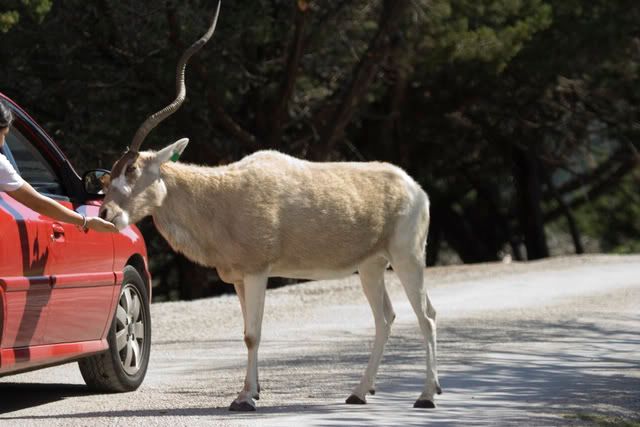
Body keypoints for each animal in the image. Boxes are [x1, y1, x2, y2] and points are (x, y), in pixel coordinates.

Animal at [99, 1, 440, 412]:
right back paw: (359, 392)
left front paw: (246, 398)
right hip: (371, 266)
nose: (106, 214)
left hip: (407, 256)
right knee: (386, 317)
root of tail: (414, 188)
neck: (220, 195)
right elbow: (246, 331)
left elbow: (253, 333)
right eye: (110, 175)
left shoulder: (258, 272)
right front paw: (252, 391)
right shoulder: (238, 278)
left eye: (133, 169)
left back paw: (426, 395)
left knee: (426, 316)